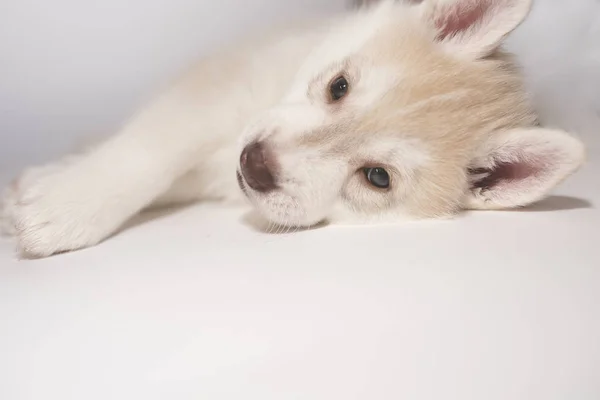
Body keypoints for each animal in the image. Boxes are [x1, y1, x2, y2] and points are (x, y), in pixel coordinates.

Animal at [0, 0, 584, 258]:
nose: (254, 164)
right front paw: (65, 202)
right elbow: (148, 153)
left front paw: (43, 199)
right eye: (339, 87)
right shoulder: (214, 96)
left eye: (377, 178)